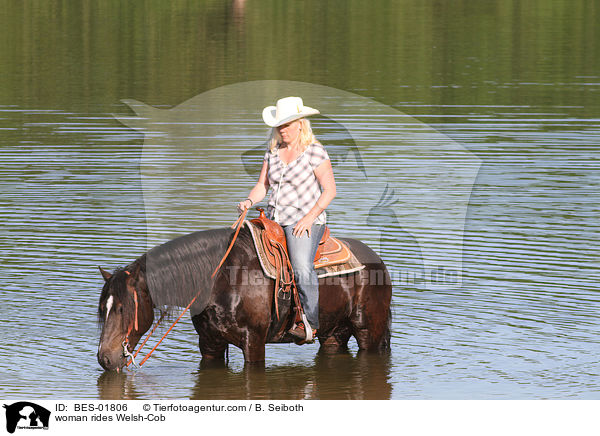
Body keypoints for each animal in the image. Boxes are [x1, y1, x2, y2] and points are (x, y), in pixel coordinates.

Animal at [96, 225, 392, 372]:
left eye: (122, 308)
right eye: (104, 309)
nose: (104, 359)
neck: (221, 279)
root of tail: (377, 261)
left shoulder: (254, 343)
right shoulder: (210, 345)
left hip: (369, 333)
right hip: (333, 335)